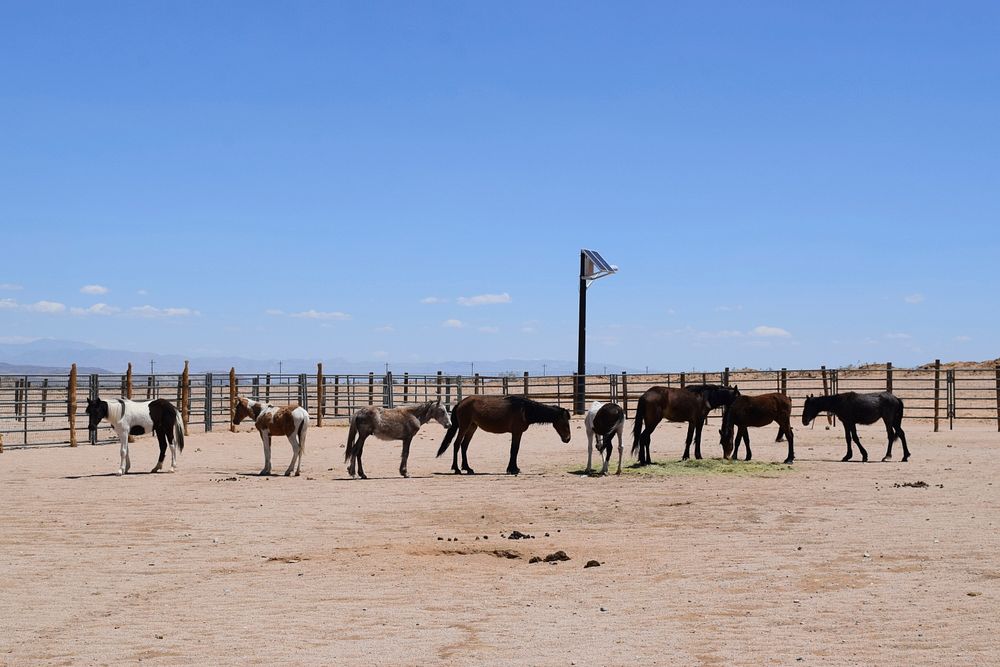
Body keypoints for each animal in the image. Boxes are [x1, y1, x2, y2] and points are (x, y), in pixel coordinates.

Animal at [436, 396, 572, 474]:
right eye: (566, 423)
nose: (568, 439)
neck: (525, 410)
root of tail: (460, 403)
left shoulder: (518, 433)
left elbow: (515, 450)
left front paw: (514, 468)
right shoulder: (516, 432)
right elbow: (514, 450)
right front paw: (512, 469)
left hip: (472, 427)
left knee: (464, 446)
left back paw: (468, 468)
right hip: (464, 427)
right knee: (457, 444)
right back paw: (457, 469)